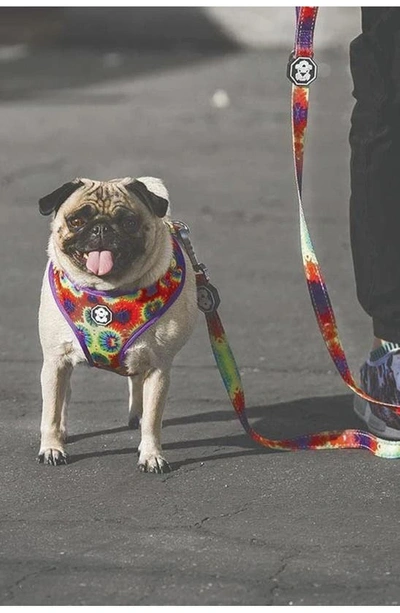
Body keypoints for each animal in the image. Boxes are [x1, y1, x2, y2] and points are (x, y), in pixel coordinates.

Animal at [38, 177, 198, 474]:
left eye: (129, 222)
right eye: (77, 221)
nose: (101, 228)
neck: (108, 292)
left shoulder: (159, 367)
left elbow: (153, 419)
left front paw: (151, 455)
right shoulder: (55, 360)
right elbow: (51, 411)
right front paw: (52, 448)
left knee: (136, 383)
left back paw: (137, 414)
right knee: (63, 396)